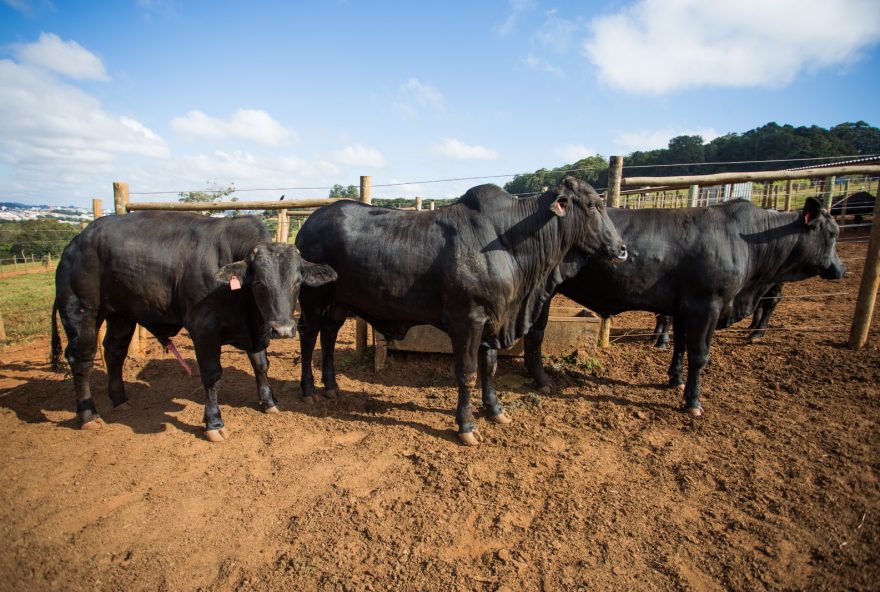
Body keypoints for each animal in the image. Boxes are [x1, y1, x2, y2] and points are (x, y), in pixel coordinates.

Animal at [50, 212, 336, 440]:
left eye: (298, 281)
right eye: (258, 283)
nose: (283, 330)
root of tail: (77, 241)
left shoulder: (255, 331)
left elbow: (261, 365)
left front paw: (268, 401)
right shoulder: (204, 329)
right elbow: (212, 376)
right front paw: (213, 422)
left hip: (121, 315)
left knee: (114, 351)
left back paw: (119, 399)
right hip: (81, 312)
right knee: (81, 360)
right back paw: (88, 414)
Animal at [296, 176, 624, 444]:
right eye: (592, 205)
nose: (622, 249)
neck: (508, 244)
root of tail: (307, 225)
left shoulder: (494, 321)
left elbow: (489, 367)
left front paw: (496, 410)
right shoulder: (468, 321)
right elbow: (467, 372)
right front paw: (466, 426)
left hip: (338, 304)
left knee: (328, 334)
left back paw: (331, 386)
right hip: (313, 299)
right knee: (308, 335)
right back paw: (308, 390)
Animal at [524, 199, 844, 416]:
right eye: (832, 233)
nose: (841, 269)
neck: (745, 240)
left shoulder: (682, 308)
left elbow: (680, 345)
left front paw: (675, 379)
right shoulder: (707, 305)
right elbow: (699, 354)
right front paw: (693, 400)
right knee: (535, 334)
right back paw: (539, 377)